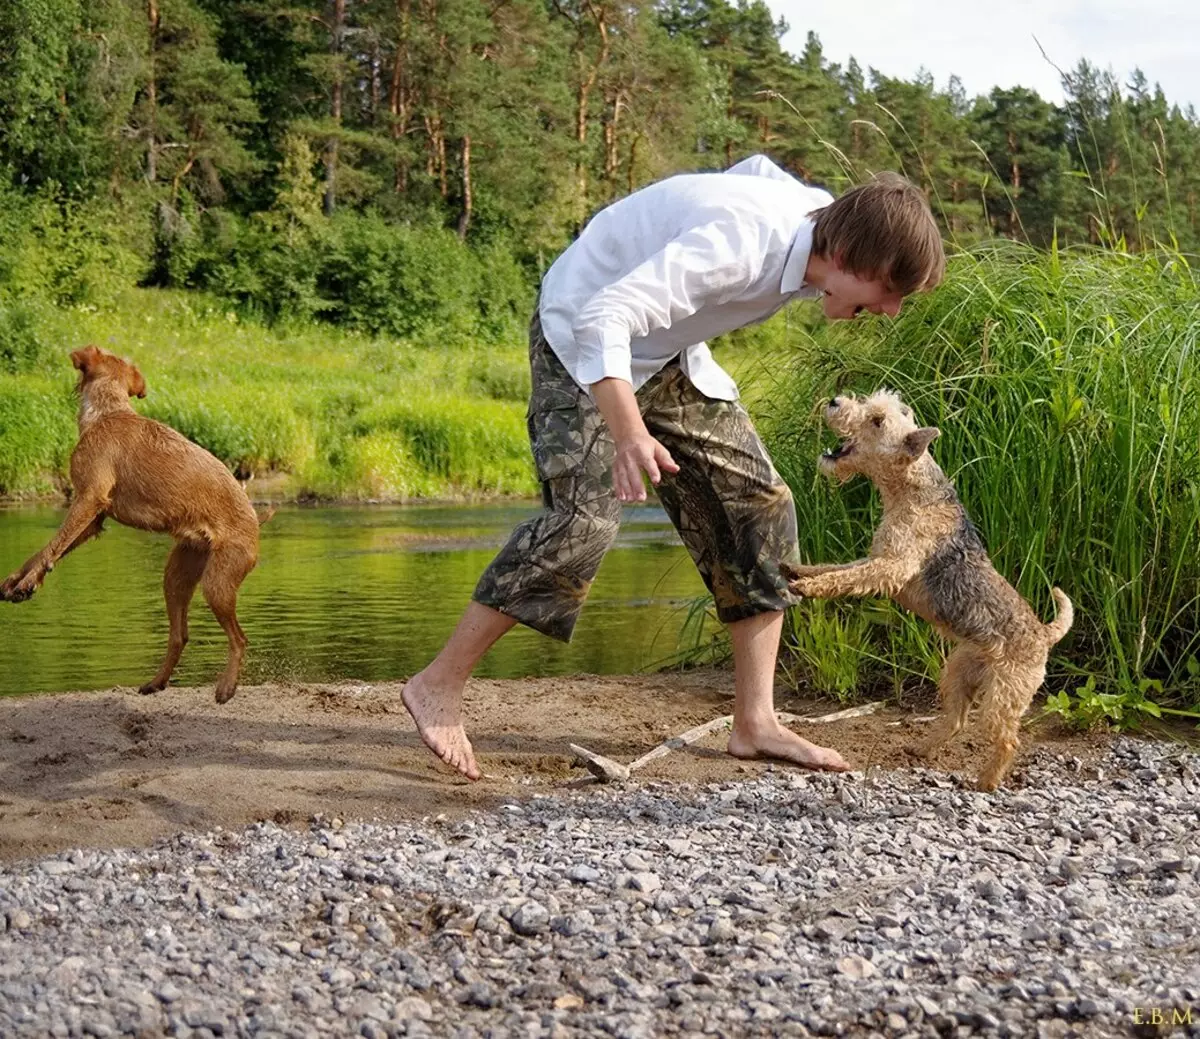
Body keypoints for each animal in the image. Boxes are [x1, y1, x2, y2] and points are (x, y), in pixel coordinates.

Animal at [1, 343, 270, 700]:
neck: (107, 412)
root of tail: (256, 520)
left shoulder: (89, 499)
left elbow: (52, 546)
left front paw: (28, 582)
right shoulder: (94, 520)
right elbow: (43, 550)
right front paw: (16, 580)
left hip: (218, 583)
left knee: (239, 638)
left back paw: (226, 686)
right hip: (177, 575)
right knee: (180, 635)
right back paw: (157, 681)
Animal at [782, 388, 1075, 787]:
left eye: (877, 420)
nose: (835, 402)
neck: (913, 490)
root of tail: (1044, 635)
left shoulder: (892, 566)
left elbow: (843, 579)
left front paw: (809, 588)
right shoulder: (876, 558)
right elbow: (836, 567)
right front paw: (797, 570)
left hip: (1003, 696)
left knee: (1006, 741)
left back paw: (987, 782)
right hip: (957, 673)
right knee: (955, 721)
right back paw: (920, 749)